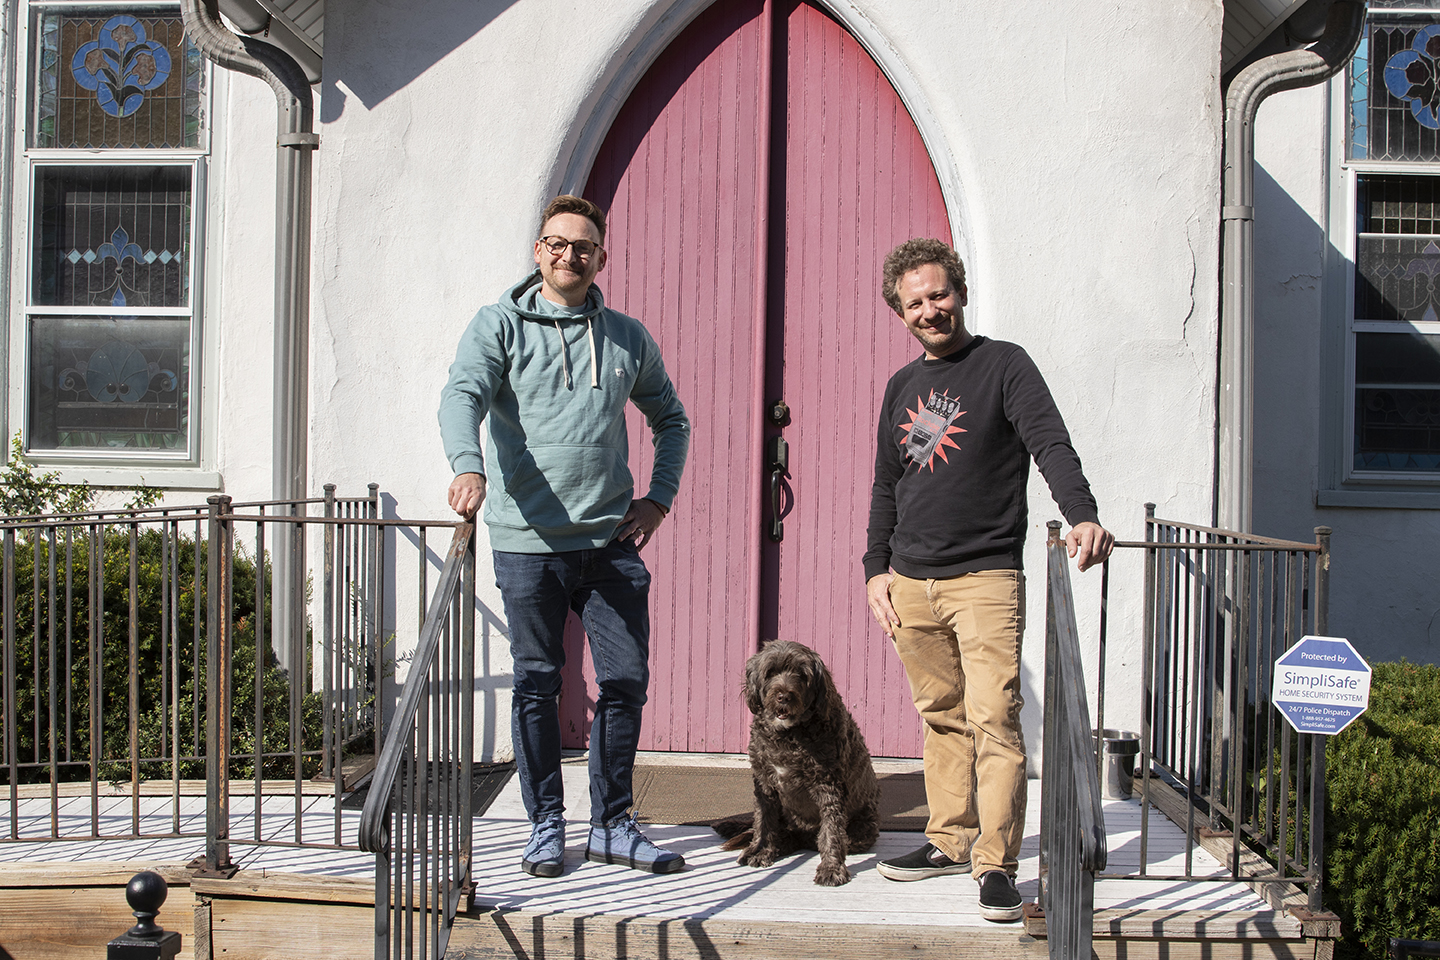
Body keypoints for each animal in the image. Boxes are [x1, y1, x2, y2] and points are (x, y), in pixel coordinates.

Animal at [714, 639, 881, 886]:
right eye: (770, 672)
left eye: (801, 674)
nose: (784, 696)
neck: (789, 735)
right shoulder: (764, 782)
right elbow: (763, 820)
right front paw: (759, 850)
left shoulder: (829, 786)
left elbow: (831, 831)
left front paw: (831, 869)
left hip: (863, 826)